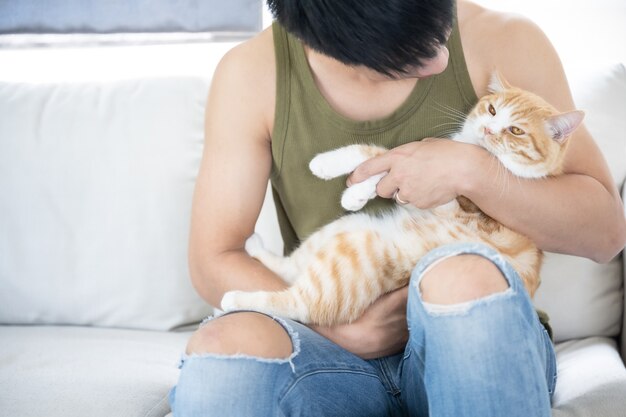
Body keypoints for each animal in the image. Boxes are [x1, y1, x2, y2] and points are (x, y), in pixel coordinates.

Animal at [218, 70, 580, 324]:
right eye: (491, 109)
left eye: (516, 130)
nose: (489, 130)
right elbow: (383, 164)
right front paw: (353, 188)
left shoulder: (456, 200)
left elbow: (382, 152)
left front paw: (330, 167)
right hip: (343, 230)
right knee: (288, 270)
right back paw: (255, 249)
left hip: (347, 262)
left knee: (299, 305)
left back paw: (234, 301)